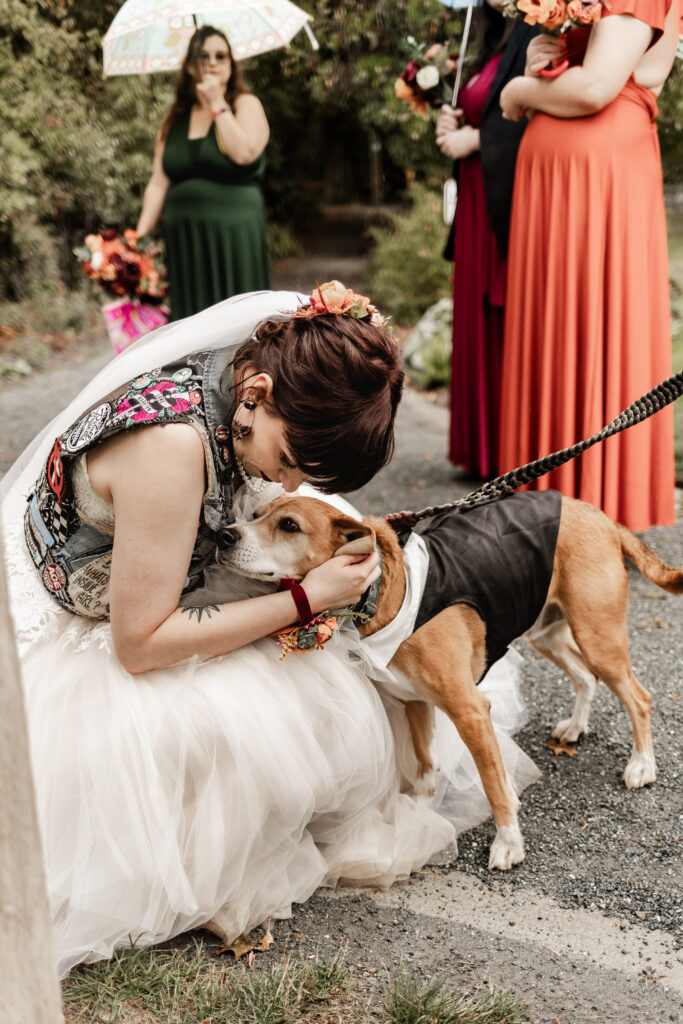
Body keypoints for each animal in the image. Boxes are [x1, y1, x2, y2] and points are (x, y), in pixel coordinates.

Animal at [218, 495, 683, 872]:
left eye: (289, 525)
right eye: (254, 514)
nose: (224, 535)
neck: (385, 591)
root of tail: (596, 513)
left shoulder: (471, 711)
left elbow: (495, 786)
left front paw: (508, 843)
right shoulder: (413, 701)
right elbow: (425, 764)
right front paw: (422, 813)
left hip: (598, 636)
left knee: (639, 697)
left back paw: (642, 766)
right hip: (547, 631)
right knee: (586, 677)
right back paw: (575, 727)